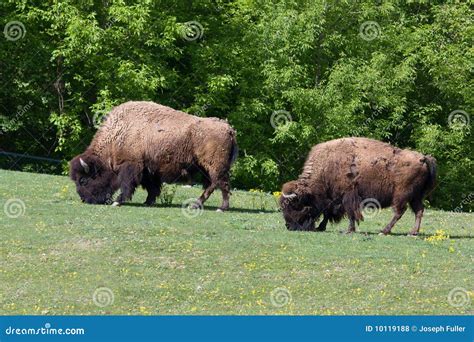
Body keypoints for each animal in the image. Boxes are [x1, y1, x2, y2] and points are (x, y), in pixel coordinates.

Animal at [69, 100, 239, 210]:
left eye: (83, 180)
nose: (85, 199)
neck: (119, 134)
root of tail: (228, 129)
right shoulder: (148, 170)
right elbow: (152, 188)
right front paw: (148, 202)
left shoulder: (131, 166)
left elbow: (127, 185)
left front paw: (118, 202)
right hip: (206, 167)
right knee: (215, 184)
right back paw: (200, 204)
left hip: (214, 166)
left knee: (220, 184)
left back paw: (218, 207)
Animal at [278, 137, 436, 235]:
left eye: (294, 205)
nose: (289, 226)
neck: (327, 166)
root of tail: (423, 158)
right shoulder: (335, 199)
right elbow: (328, 213)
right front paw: (321, 227)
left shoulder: (347, 196)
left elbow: (350, 214)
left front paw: (349, 230)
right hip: (416, 196)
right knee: (419, 210)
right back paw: (413, 232)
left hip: (401, 195)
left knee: (399, 211)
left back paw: (384, 231)